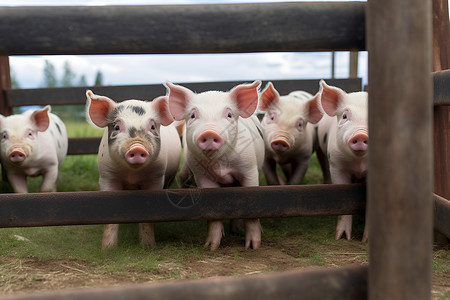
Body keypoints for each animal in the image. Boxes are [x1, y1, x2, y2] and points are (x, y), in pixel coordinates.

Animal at [86, 90, 181, 250]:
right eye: (116, 127)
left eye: (152, 127)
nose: (137, 147)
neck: (132, 175)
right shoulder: (107, 176)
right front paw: (108, 248)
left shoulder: (156, 177)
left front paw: (147, 246)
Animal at [165, 81, 264, 250]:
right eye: (193, 115)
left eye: (229, 115)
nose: (209, 133)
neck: (220, 165)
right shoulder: (201, 176)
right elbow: (213, 210)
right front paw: (210, 247)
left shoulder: (249, 168)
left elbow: (250, 207)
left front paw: (252, 247)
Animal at [316, 79, 370, 241]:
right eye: (345, 116)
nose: (361, 134)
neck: (359, 164)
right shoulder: (336, 165)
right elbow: (344, 198)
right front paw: (342, 237)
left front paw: (365, 240)